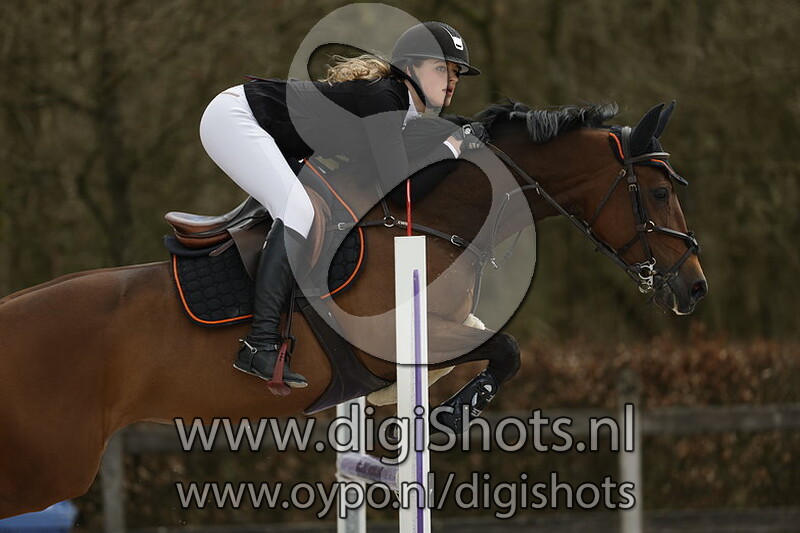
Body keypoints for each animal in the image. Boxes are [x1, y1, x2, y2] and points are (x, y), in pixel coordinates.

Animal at [0, 100, 706, 517]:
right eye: (660, 192)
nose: (695, 288)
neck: (439, 218)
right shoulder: (398, 338)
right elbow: (504, 347)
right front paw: (453, 413)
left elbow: (483, 348)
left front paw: (442, 408)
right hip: (51, 468)